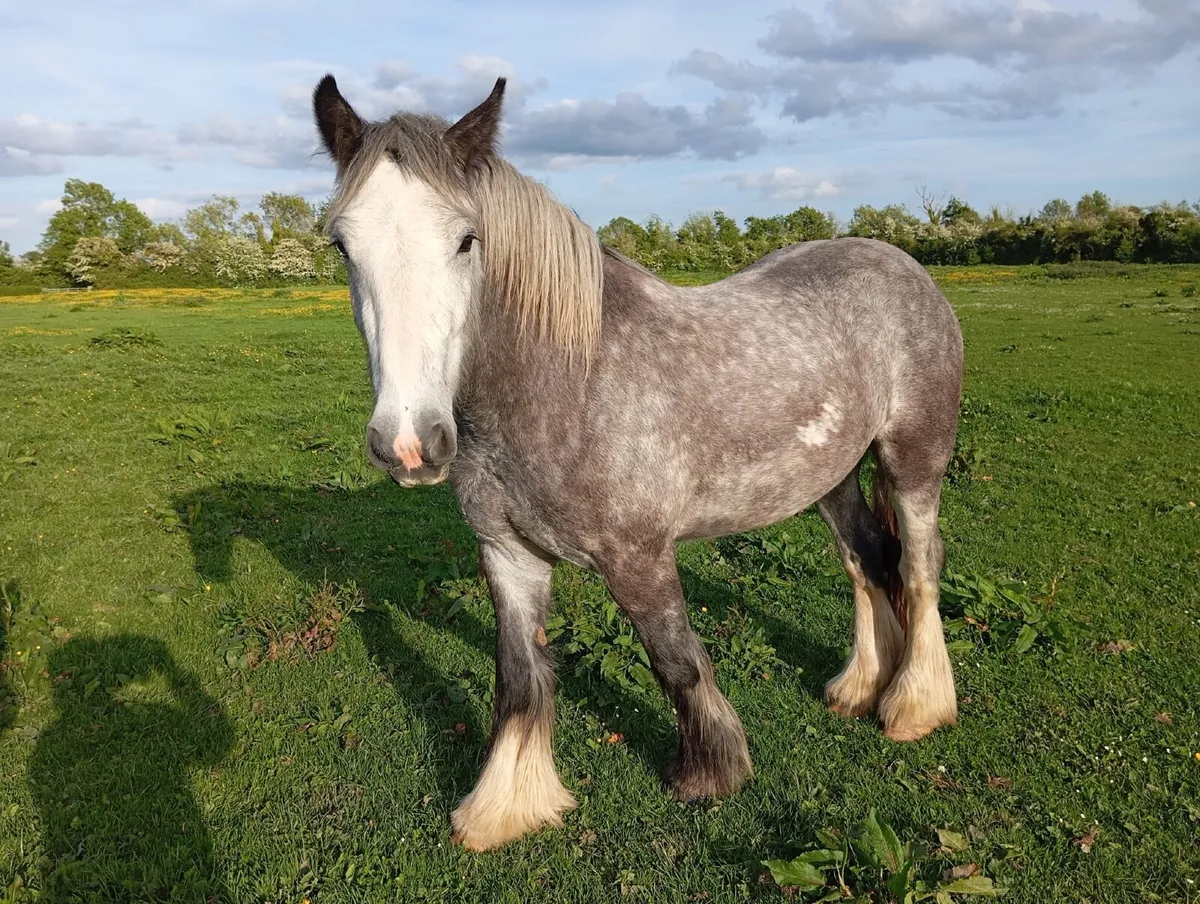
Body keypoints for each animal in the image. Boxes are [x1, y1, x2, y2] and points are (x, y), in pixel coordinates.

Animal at [311, 73, 964, 852]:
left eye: (467, 240)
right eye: (343, 246)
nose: (409, 444)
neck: (566, 382)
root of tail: (902, 264)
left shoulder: (638, 556)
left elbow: (675, 660)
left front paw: (712, 773)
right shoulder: (508, 556)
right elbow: (519, 678)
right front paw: (505, 807)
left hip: (913, 461)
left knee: (919, 566)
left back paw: (915, 705)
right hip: (833, 479)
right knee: (867, 561)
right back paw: (859, 688)